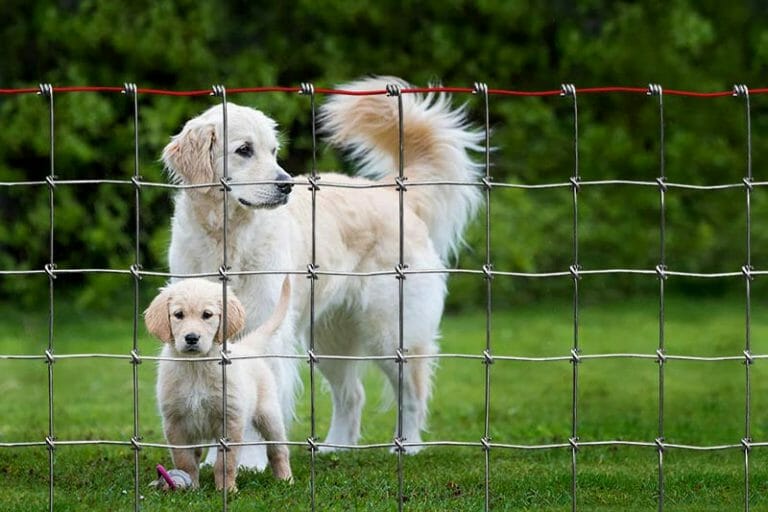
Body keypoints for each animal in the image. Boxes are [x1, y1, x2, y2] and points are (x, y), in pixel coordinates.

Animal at [143, 278, 292, 490]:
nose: (191, 338)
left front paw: (227, 489)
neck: (196, 367)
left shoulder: (230, 420)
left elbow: (225, 463)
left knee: (278, 450)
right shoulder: (175, 422)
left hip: (269, 414)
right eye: (178, 315)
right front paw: (190, 487)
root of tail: (246, 347)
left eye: (207, 315)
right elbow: (184, 460)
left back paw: (286, 480)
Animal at [161, 77, 480, 468]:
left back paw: (408, 446)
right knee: (352, 395)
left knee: (413, 392)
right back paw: (335, 447)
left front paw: (249, 460)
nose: (286, 185)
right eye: (244, 150)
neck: (227, 237)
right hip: (331, 339)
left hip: (392, 333)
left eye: (273, 151)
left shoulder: (265, 332)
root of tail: (393, 193)